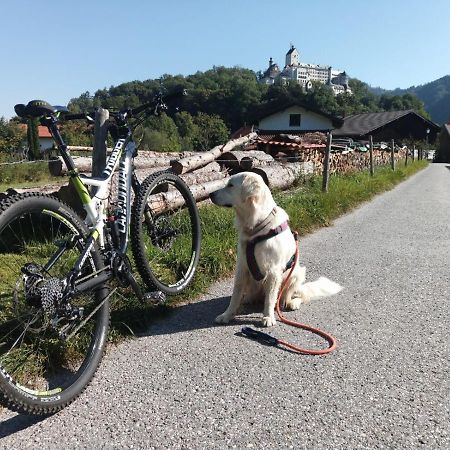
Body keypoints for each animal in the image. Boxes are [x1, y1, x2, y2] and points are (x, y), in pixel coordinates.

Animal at [209, 172, 342, 326]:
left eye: (230, 185)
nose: (210, 194)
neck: (257, 228)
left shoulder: (273, 271)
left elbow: (271, 299)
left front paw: (268, 317)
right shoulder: (242, 268)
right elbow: (235, 296)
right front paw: (227, 315)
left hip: (297, 273)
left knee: (293, 296)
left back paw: (292, 302)